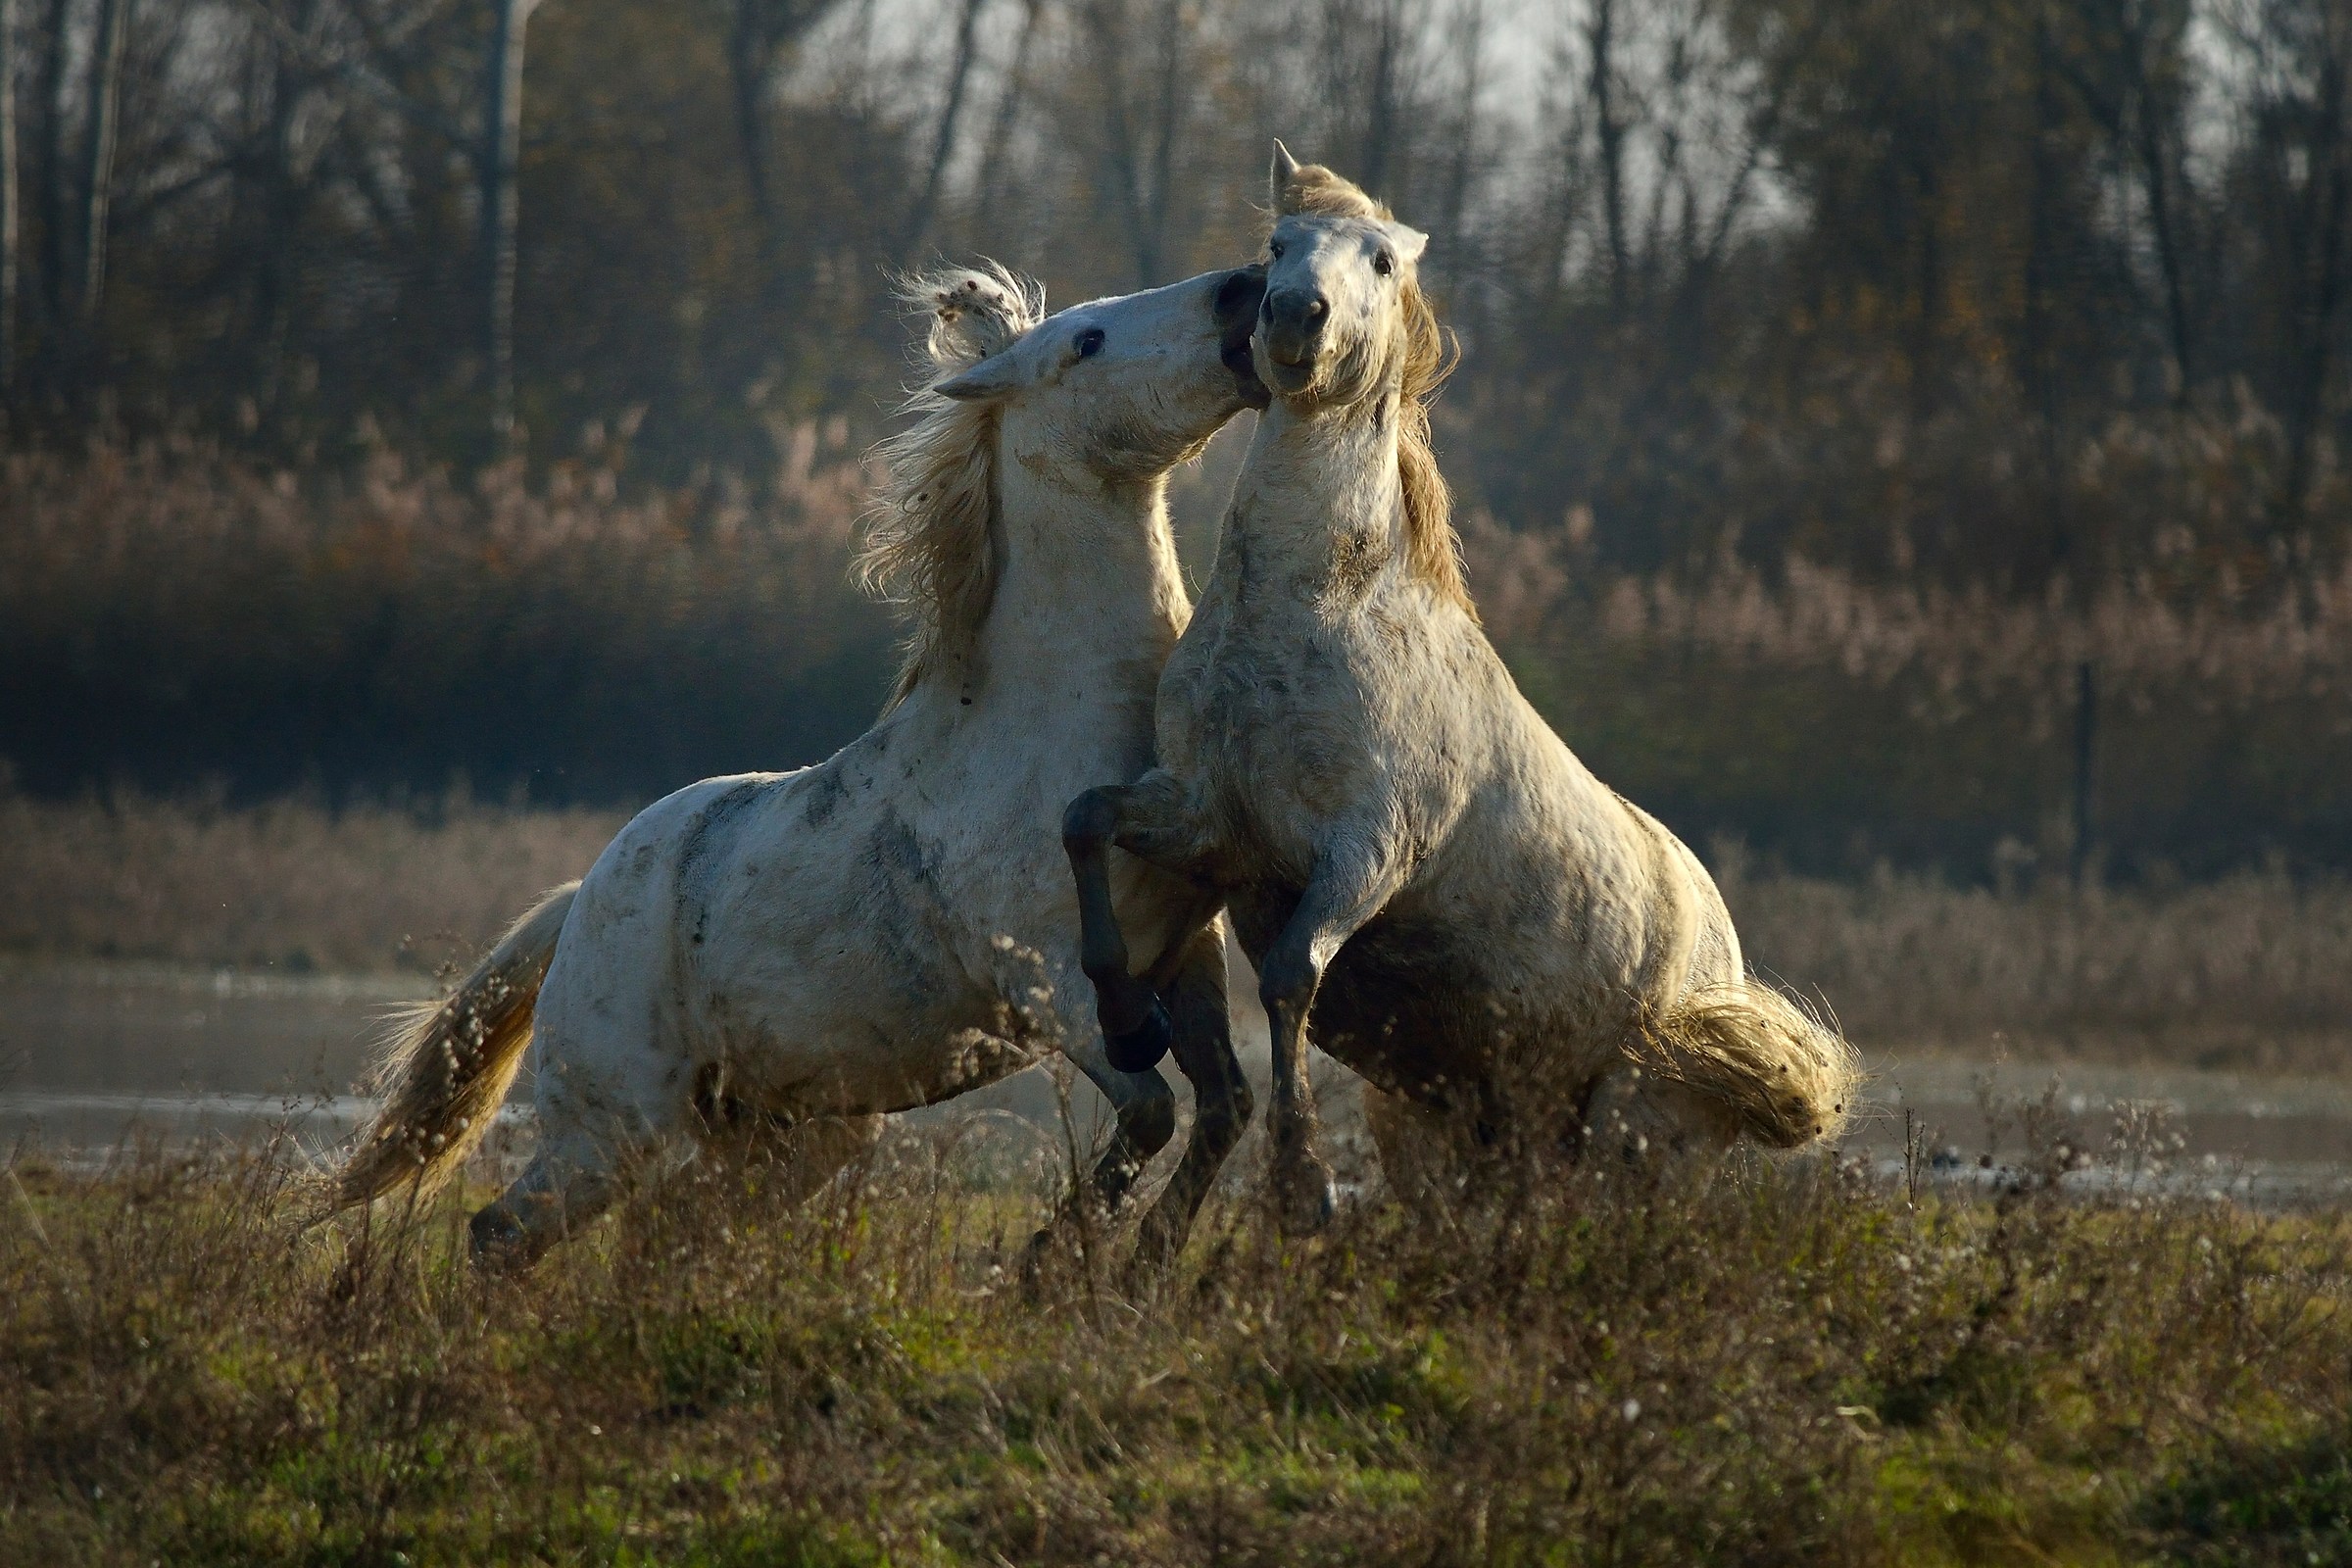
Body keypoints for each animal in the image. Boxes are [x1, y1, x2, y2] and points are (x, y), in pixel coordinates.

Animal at [335, 259, 1273, 1275]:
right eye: (1087, 341)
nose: (1241, 288)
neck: (1054, 719)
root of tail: (578, 904)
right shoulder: (1048, 986)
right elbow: (1151, 1109)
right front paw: (1040, 1265)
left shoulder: (1189, 956)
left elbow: (1225, 1108)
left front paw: (1141, 1263)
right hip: (612, 1128)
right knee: (501, 1234)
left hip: (789, 1135)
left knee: (665, 1235)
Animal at [1064, 146, 1858, 1236]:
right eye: (1277, 242)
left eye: (1383, 261)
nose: (1296, 315)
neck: (1307, 619)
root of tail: (1724, 965)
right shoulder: (1206, 820)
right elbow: (1086, 819)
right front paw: (1124, 1019)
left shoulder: (1367, 851)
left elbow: (1290, 979)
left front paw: (1303, 1187)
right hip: (1472, 1134)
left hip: (1630, 1147)